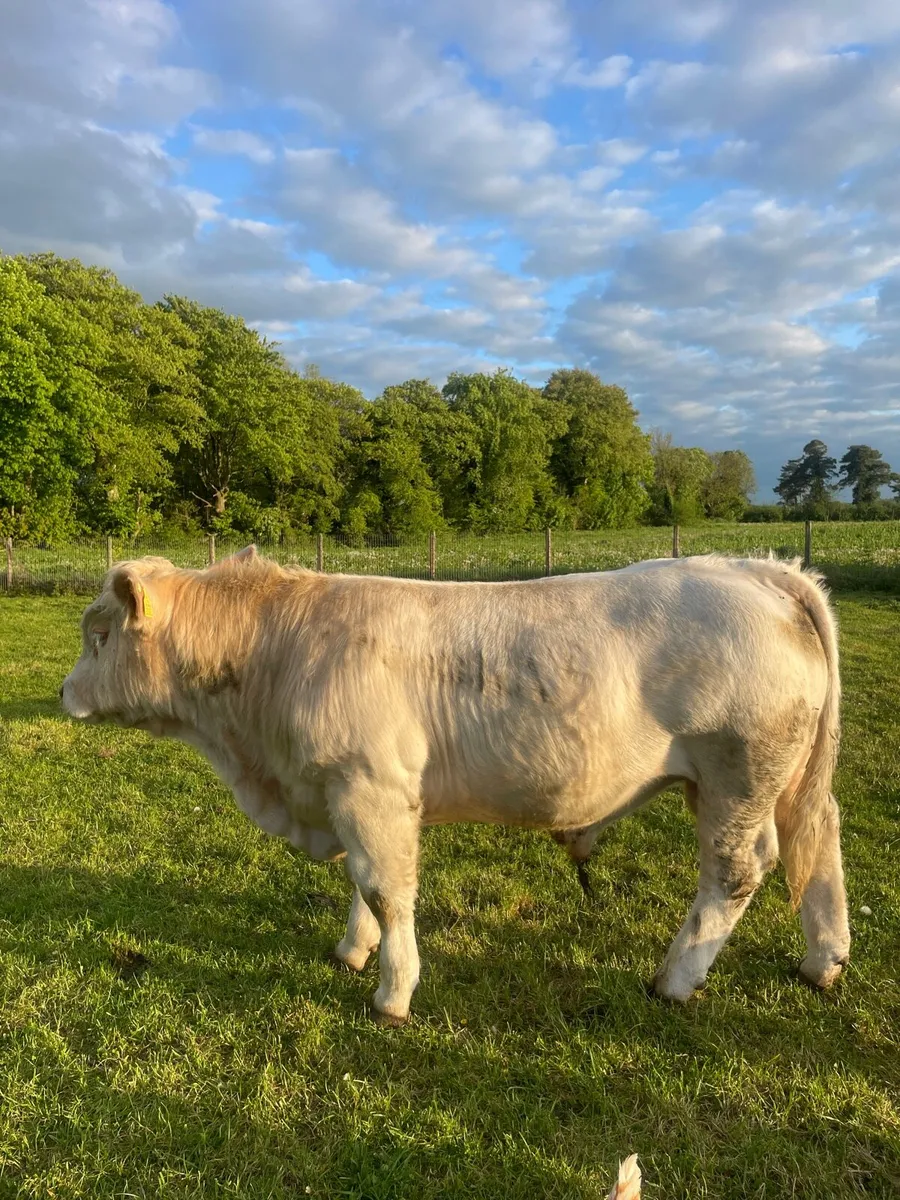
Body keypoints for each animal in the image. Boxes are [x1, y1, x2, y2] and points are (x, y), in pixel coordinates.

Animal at [60, 548, 850, 1025]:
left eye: (99, 635)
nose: (64, 691)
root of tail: (755, 569)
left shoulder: (370, 786)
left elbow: (386, 888)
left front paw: (392, 991)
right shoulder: (352, 794)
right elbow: (362, 883)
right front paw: (353, 950)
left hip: (736, 774)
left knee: (737, 873)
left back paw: (674, 980)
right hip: (768, 783)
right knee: (815, 843)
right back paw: (823, 961)